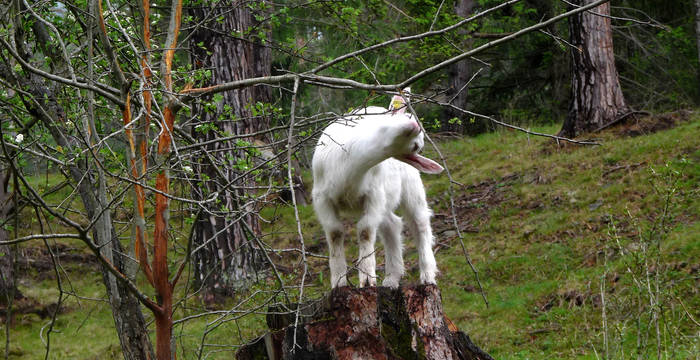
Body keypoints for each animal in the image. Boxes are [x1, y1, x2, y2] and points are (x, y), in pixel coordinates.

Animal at [312, 94, 442, 288]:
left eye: (415, 147)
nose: (414, 125)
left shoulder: (374, 194)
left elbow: (365, 231)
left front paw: (367, 278)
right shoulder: (321, 198)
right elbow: (335, 233)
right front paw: (338, 281)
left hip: (411, 186)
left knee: (420, 224)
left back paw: (427, 275)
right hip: (387, 199)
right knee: (392, 225)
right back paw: (391, 279)